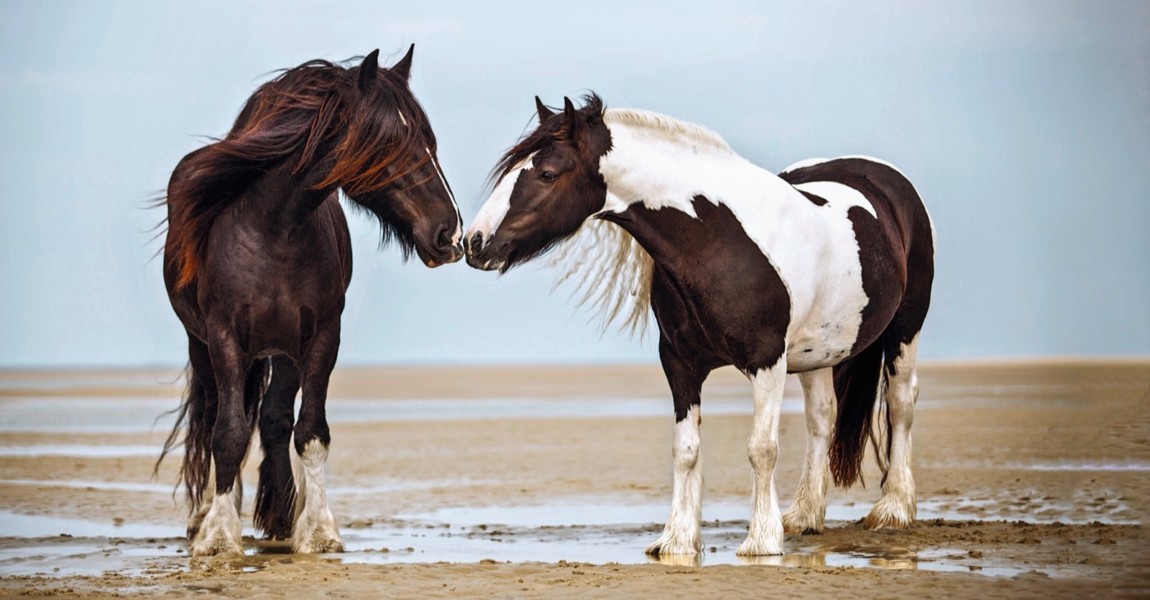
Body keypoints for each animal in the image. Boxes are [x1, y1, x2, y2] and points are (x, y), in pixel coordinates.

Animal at [158, 47, 462, 556]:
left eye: (428, 140)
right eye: (390, 141)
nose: (450, 233)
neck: (273, 230)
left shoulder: (320, 339)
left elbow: (310, 431)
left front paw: (318, 530)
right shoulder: (223, 338)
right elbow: (228, 433)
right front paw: (218, 537)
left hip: (283, 351)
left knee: (274, 419)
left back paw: (282, 515)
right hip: (202, 345)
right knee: (218, 417)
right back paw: (208, 515)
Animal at [466, 93, 933, 556]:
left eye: (547, 174)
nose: (473, 242)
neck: (718, 239)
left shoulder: (767, 361)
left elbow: (761, 448)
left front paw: (761, 540)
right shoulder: (680, 363)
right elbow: (686, 450)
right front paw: (677, 540)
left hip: (905, 328)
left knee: (900, 404)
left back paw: (893, 509)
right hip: (817, 352)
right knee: (821, 418)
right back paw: (804, 516)